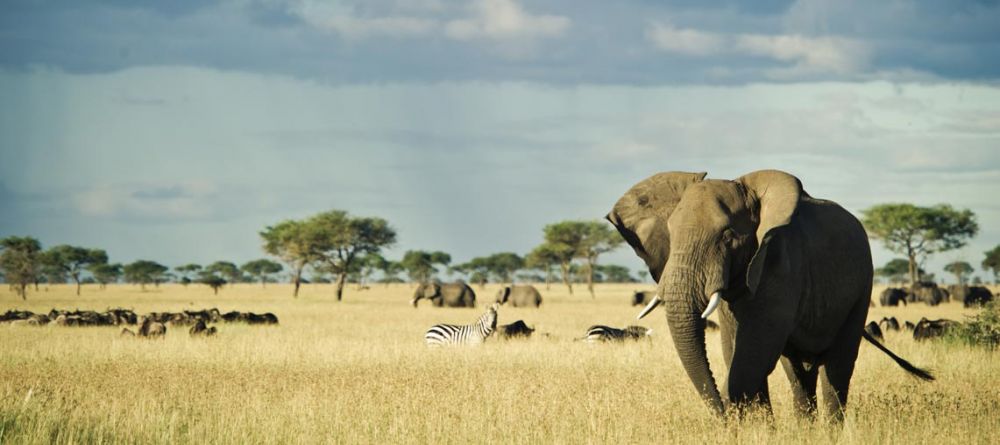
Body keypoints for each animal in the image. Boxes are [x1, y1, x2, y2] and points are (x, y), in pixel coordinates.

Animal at [604, 169, 932, 420]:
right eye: (671, 235)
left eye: (727, 236)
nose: (722, 417)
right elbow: (736, 352)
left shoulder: (781, 265)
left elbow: (751, 358)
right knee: (798, 373)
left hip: (861, 289)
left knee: (837, 368)